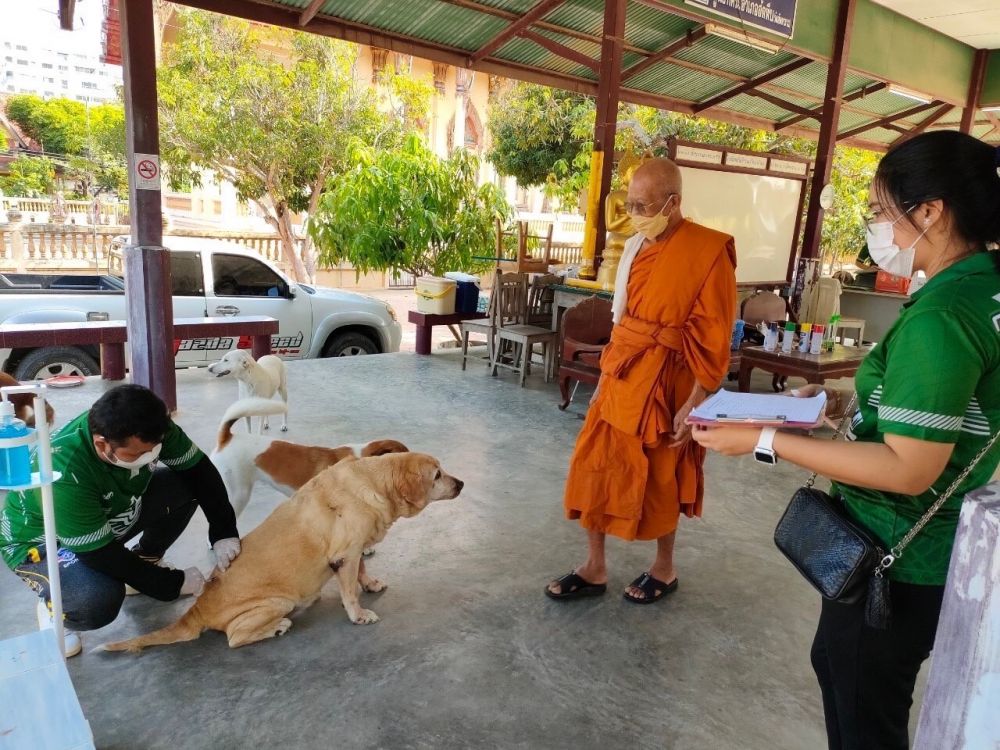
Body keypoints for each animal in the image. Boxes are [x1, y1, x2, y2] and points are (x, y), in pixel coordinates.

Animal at [101, 453, 463, 651]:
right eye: (437, 475)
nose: (461, 483)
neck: (375, 483)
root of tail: (198, 609)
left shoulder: (356, 550)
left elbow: (362, 571)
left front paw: (371, 584)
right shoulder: (345, 554)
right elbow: (349, 590)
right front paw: (359, 614)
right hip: (277, 602)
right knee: (235, 637)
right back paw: (277, 627)